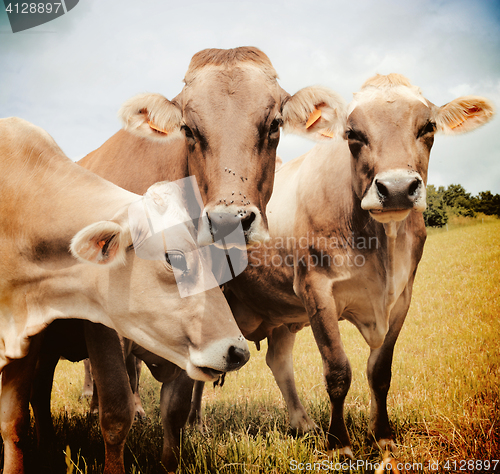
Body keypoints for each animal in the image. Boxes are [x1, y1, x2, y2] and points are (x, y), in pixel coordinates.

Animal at [28, 45, 348, 474]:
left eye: (274, 125)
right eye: (189, 129)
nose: (231, 219)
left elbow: (175, 409)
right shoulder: (104, 330)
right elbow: (115, 408)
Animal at [189, 75, 494, 460]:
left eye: (428, 127)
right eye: (352, 133)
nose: (396, 188)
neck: (381, 249)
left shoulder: (402, 297)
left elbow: (380, 373)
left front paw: (383, 437)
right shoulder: (316, 290)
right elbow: (337, 372)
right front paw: (339, 444)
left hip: (280, 311)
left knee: (279, 361)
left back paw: (302, 424)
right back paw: (195, 427)